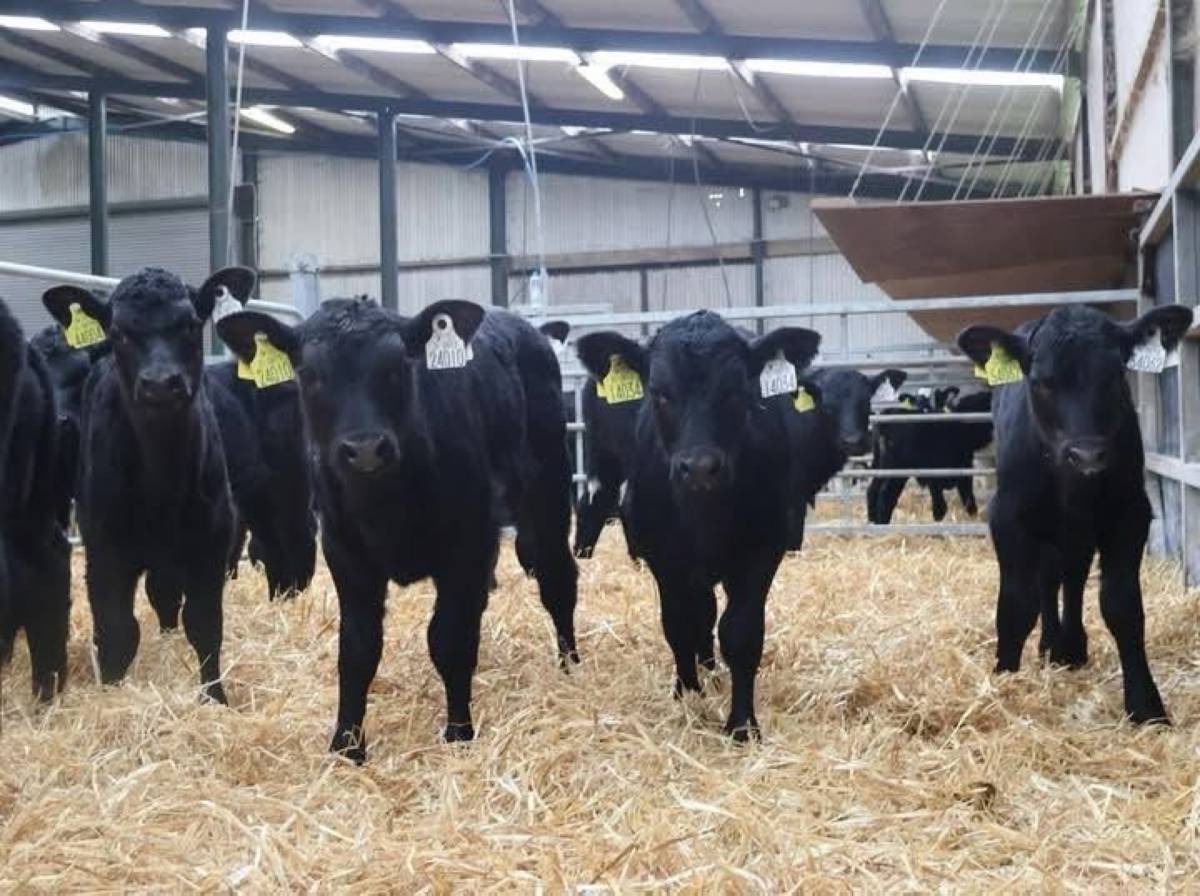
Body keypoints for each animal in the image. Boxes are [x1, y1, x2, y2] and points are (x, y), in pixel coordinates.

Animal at [41, 266, 255, 704]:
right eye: (119, 332)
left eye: (190, 324)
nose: (159, 383)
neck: (162, 481)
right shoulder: (104, 550)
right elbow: (117, 630)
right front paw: (111, 692)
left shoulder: (210, 542)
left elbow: (205, 624)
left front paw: (215, 698)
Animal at [216, 297, 579, 763]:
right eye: (311, 374)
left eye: (396, 367)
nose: (366, 449)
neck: (385, 506)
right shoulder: (344, 551)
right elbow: (357, 649)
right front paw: (346, 746)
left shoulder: (466, 542)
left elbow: (449, 638)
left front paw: (458, 732)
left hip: (547, 492)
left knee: (556, 577)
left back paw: (569, 666)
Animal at [577, 311, 820, 741]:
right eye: (659, 392)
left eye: (737, 389)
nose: (700, 468)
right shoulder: (664, 558)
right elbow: (678, 624)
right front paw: (687, 696)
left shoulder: (763, 550)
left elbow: (741, 632)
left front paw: (742, 724)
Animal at [957, 303, 1193, 724]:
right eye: (1040, 381)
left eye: (1116, 375)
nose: (1086, 455)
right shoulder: (1007, 517)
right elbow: (1016, 603)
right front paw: (1004, 681)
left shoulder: (1130, 514)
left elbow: (1122, 605)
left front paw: (1146, 705)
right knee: (1049, 578)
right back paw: (1054, 645)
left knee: (1071, 576)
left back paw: (1070, 646)